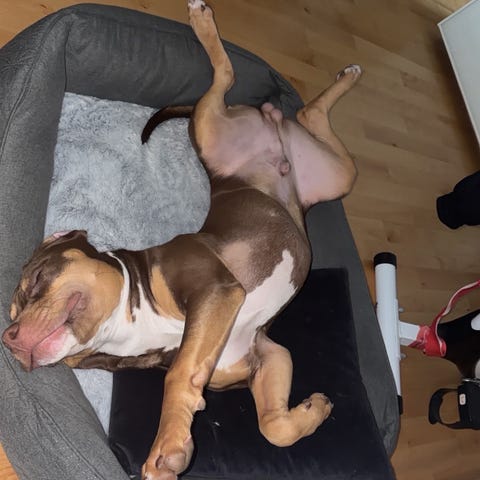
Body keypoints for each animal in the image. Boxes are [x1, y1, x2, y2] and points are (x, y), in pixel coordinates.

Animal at [2, 1, 361, 479]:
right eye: (11, 313)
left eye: (38, 278)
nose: (10, 338)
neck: (129, 328)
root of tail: (275, 133)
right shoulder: (266, 355)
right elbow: (274, 428)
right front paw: (314, 410)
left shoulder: (216, 291)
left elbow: (177, 377)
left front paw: (166, 446)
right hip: (333, 173)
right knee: (307, 115)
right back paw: (337, 82)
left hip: (220, 130)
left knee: (225, 77)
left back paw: (205, 21)